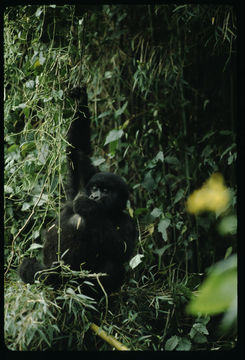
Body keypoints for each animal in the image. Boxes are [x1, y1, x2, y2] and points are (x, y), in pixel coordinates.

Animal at [18, 86, 138, 296]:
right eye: (96, 188)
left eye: (106, 191)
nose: (94, 196)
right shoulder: (84, 182)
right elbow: (79, 151)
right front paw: (81, 99)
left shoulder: (129, 223)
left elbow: (122, 248)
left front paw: (90, 208)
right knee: (29, 266)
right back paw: (46, 275)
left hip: (78, 282)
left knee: (112, 267)